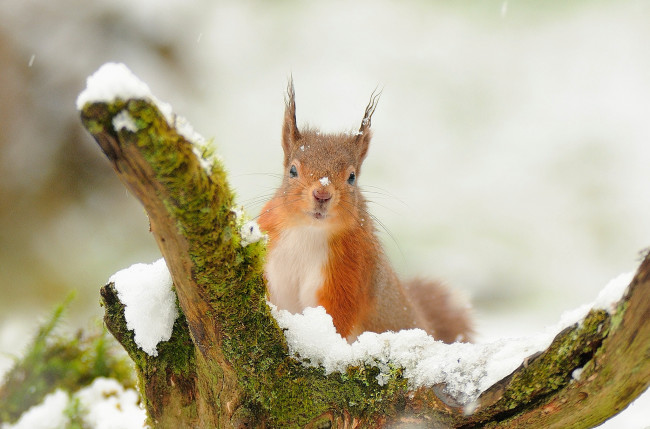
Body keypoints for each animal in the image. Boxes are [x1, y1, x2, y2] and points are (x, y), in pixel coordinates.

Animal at [258, 82, 470, 344]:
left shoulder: (351, 271)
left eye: (352, 177)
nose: (322, 194)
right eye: (292, 170)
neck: (308, 231)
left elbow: (337, 317)